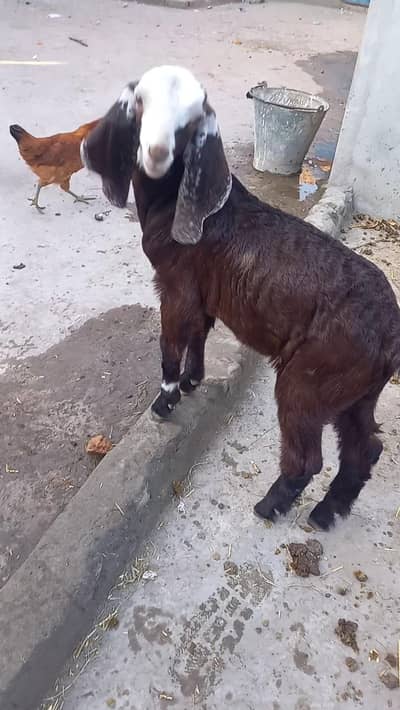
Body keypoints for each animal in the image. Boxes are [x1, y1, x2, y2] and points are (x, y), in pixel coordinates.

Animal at [82, 65, 400, 531]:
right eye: (138, 104)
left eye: (191, 123)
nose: (156, 153)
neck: (176, 206)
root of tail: (391, 335)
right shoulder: (202, 294)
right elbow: (198, 334)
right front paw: (193, 381)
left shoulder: (175, 286)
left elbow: (170, 344)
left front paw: (166, 401)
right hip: (357, 390)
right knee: (365, 449)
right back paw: (326, 513)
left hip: (309, 379)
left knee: (308, 457)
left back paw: (270, 507)